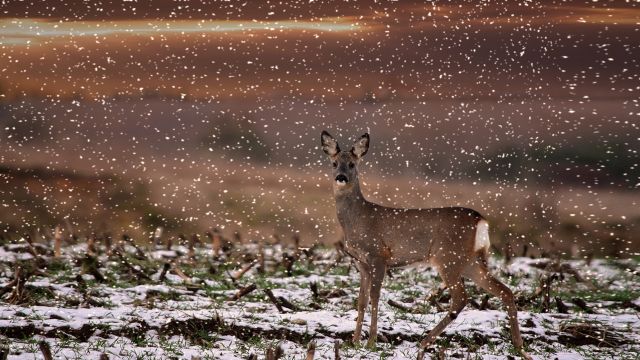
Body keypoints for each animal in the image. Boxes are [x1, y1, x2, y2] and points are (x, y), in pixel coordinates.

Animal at [322, 131, 528, 358]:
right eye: (334, 163)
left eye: (352, 164)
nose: (341, 177)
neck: (359, 218)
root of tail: (480, 220)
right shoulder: (361, 262)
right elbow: (361, 300)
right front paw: (354, 341)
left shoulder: (379, 255)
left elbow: (375, 297)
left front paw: (371, 342)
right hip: (470, 261)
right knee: (505, 291)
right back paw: (519, 347)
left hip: (448, 257)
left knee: (461, 298)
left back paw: (424, 343)